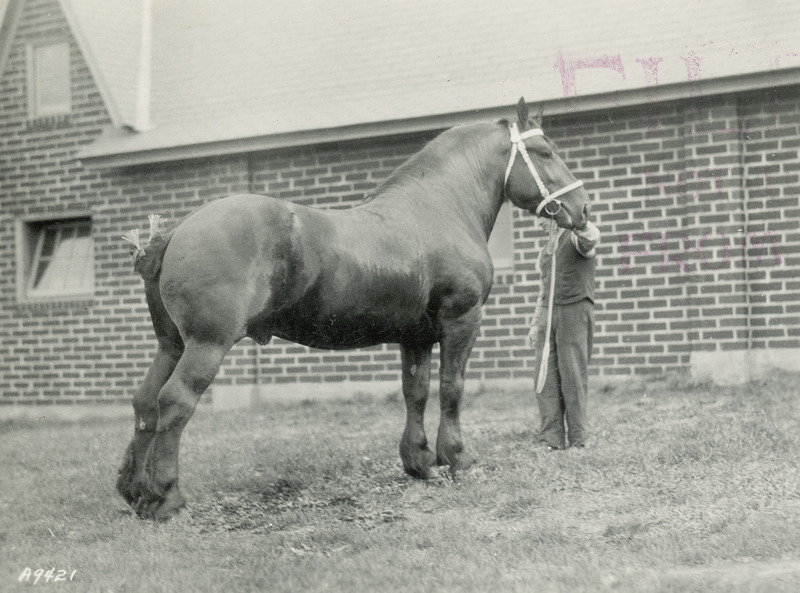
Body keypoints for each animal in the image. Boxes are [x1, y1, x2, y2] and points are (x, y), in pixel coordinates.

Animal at [120, 96, 592, 520]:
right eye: (545, 151)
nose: (582, 208)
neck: (440, 207)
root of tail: (178, 230)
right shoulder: (462, 320)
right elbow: (452, 388)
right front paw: (457, 457)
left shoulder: (416, 336)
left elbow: (415, 391)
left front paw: (419, 462)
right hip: (207, 344)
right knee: (175, 401)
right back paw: (168, 497)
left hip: (172, 344)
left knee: (145, 401)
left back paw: (135, 491)